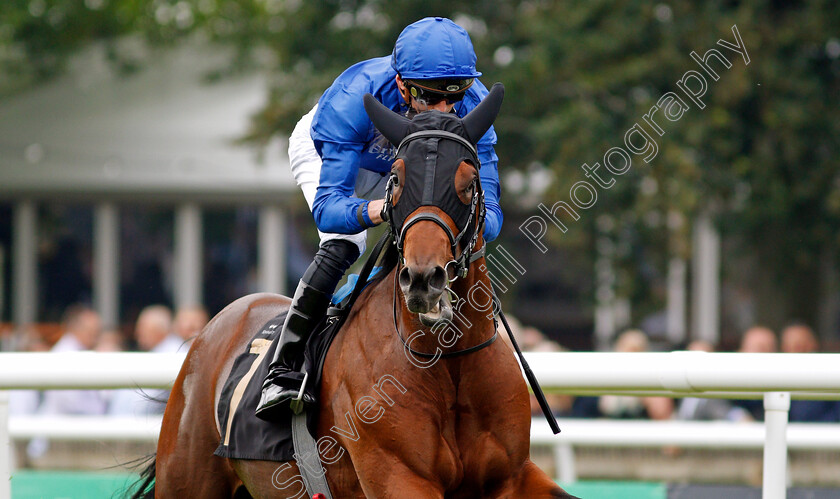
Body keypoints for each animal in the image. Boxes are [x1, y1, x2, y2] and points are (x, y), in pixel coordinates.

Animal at [135, 84, 576, 498]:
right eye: (396, 179)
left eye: (468, 182)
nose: (423, 280)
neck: (448, 361)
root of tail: (214, 329)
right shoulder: (399, 476)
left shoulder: (513, 476)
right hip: (188, 476)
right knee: (339, 245)